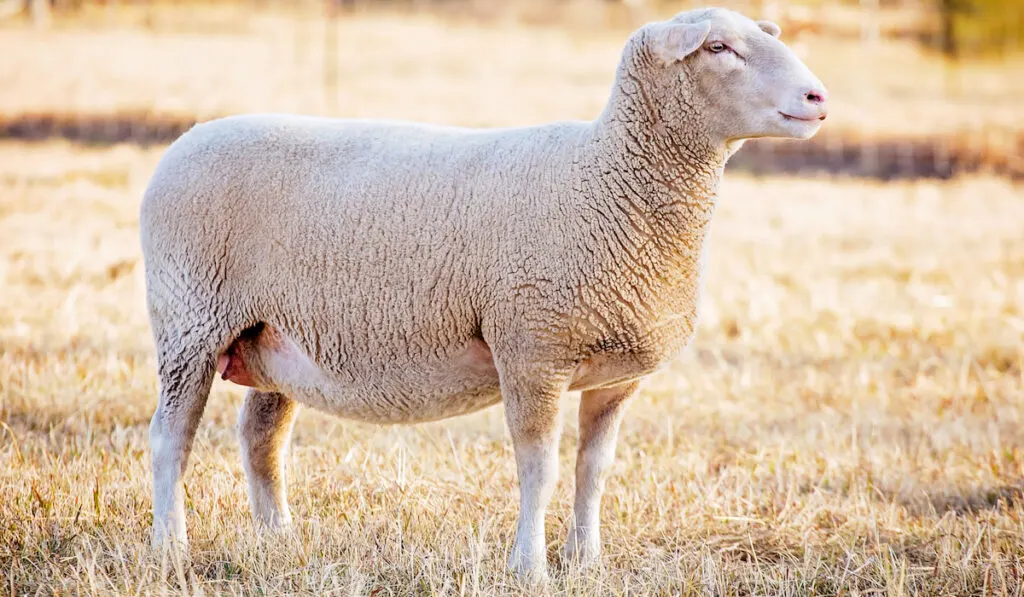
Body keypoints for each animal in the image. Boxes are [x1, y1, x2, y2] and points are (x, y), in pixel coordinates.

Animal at [140, 7, 827, 581]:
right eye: (718, 47)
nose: (818, 98)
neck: (606, 177)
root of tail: (188, 138)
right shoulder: (532, 349)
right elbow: (540, 469)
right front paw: (530, 568)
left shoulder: (616, 376)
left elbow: (594, 470)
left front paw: (586, 560)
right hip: (189, 320)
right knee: (171, 437)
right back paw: (171, 548)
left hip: (273, 337)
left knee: (261, 437)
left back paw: (279, 540)